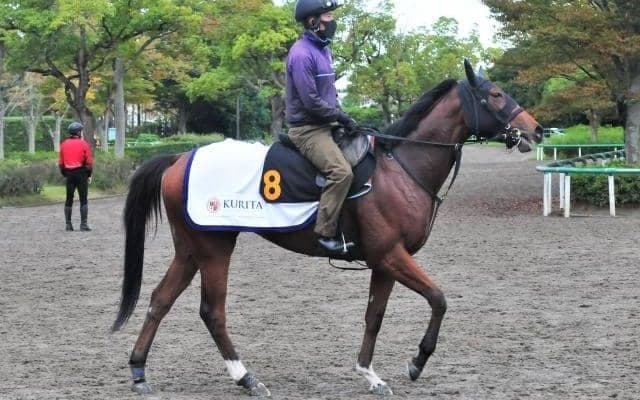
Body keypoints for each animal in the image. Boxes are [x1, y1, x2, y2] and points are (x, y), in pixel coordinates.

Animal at [112, 60, 543, 397]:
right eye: (497, 94)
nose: (536, 130)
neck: (400, 167)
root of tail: (180, 158)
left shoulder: (384, 262)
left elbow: (374, 316)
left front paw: (370, 375)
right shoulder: (392, 255)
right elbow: (438, 299)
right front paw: (417, 361)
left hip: (190, 251)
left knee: (160, 300)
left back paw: (139, 371)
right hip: (214, 249)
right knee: (211, 312)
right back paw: (247, 378)